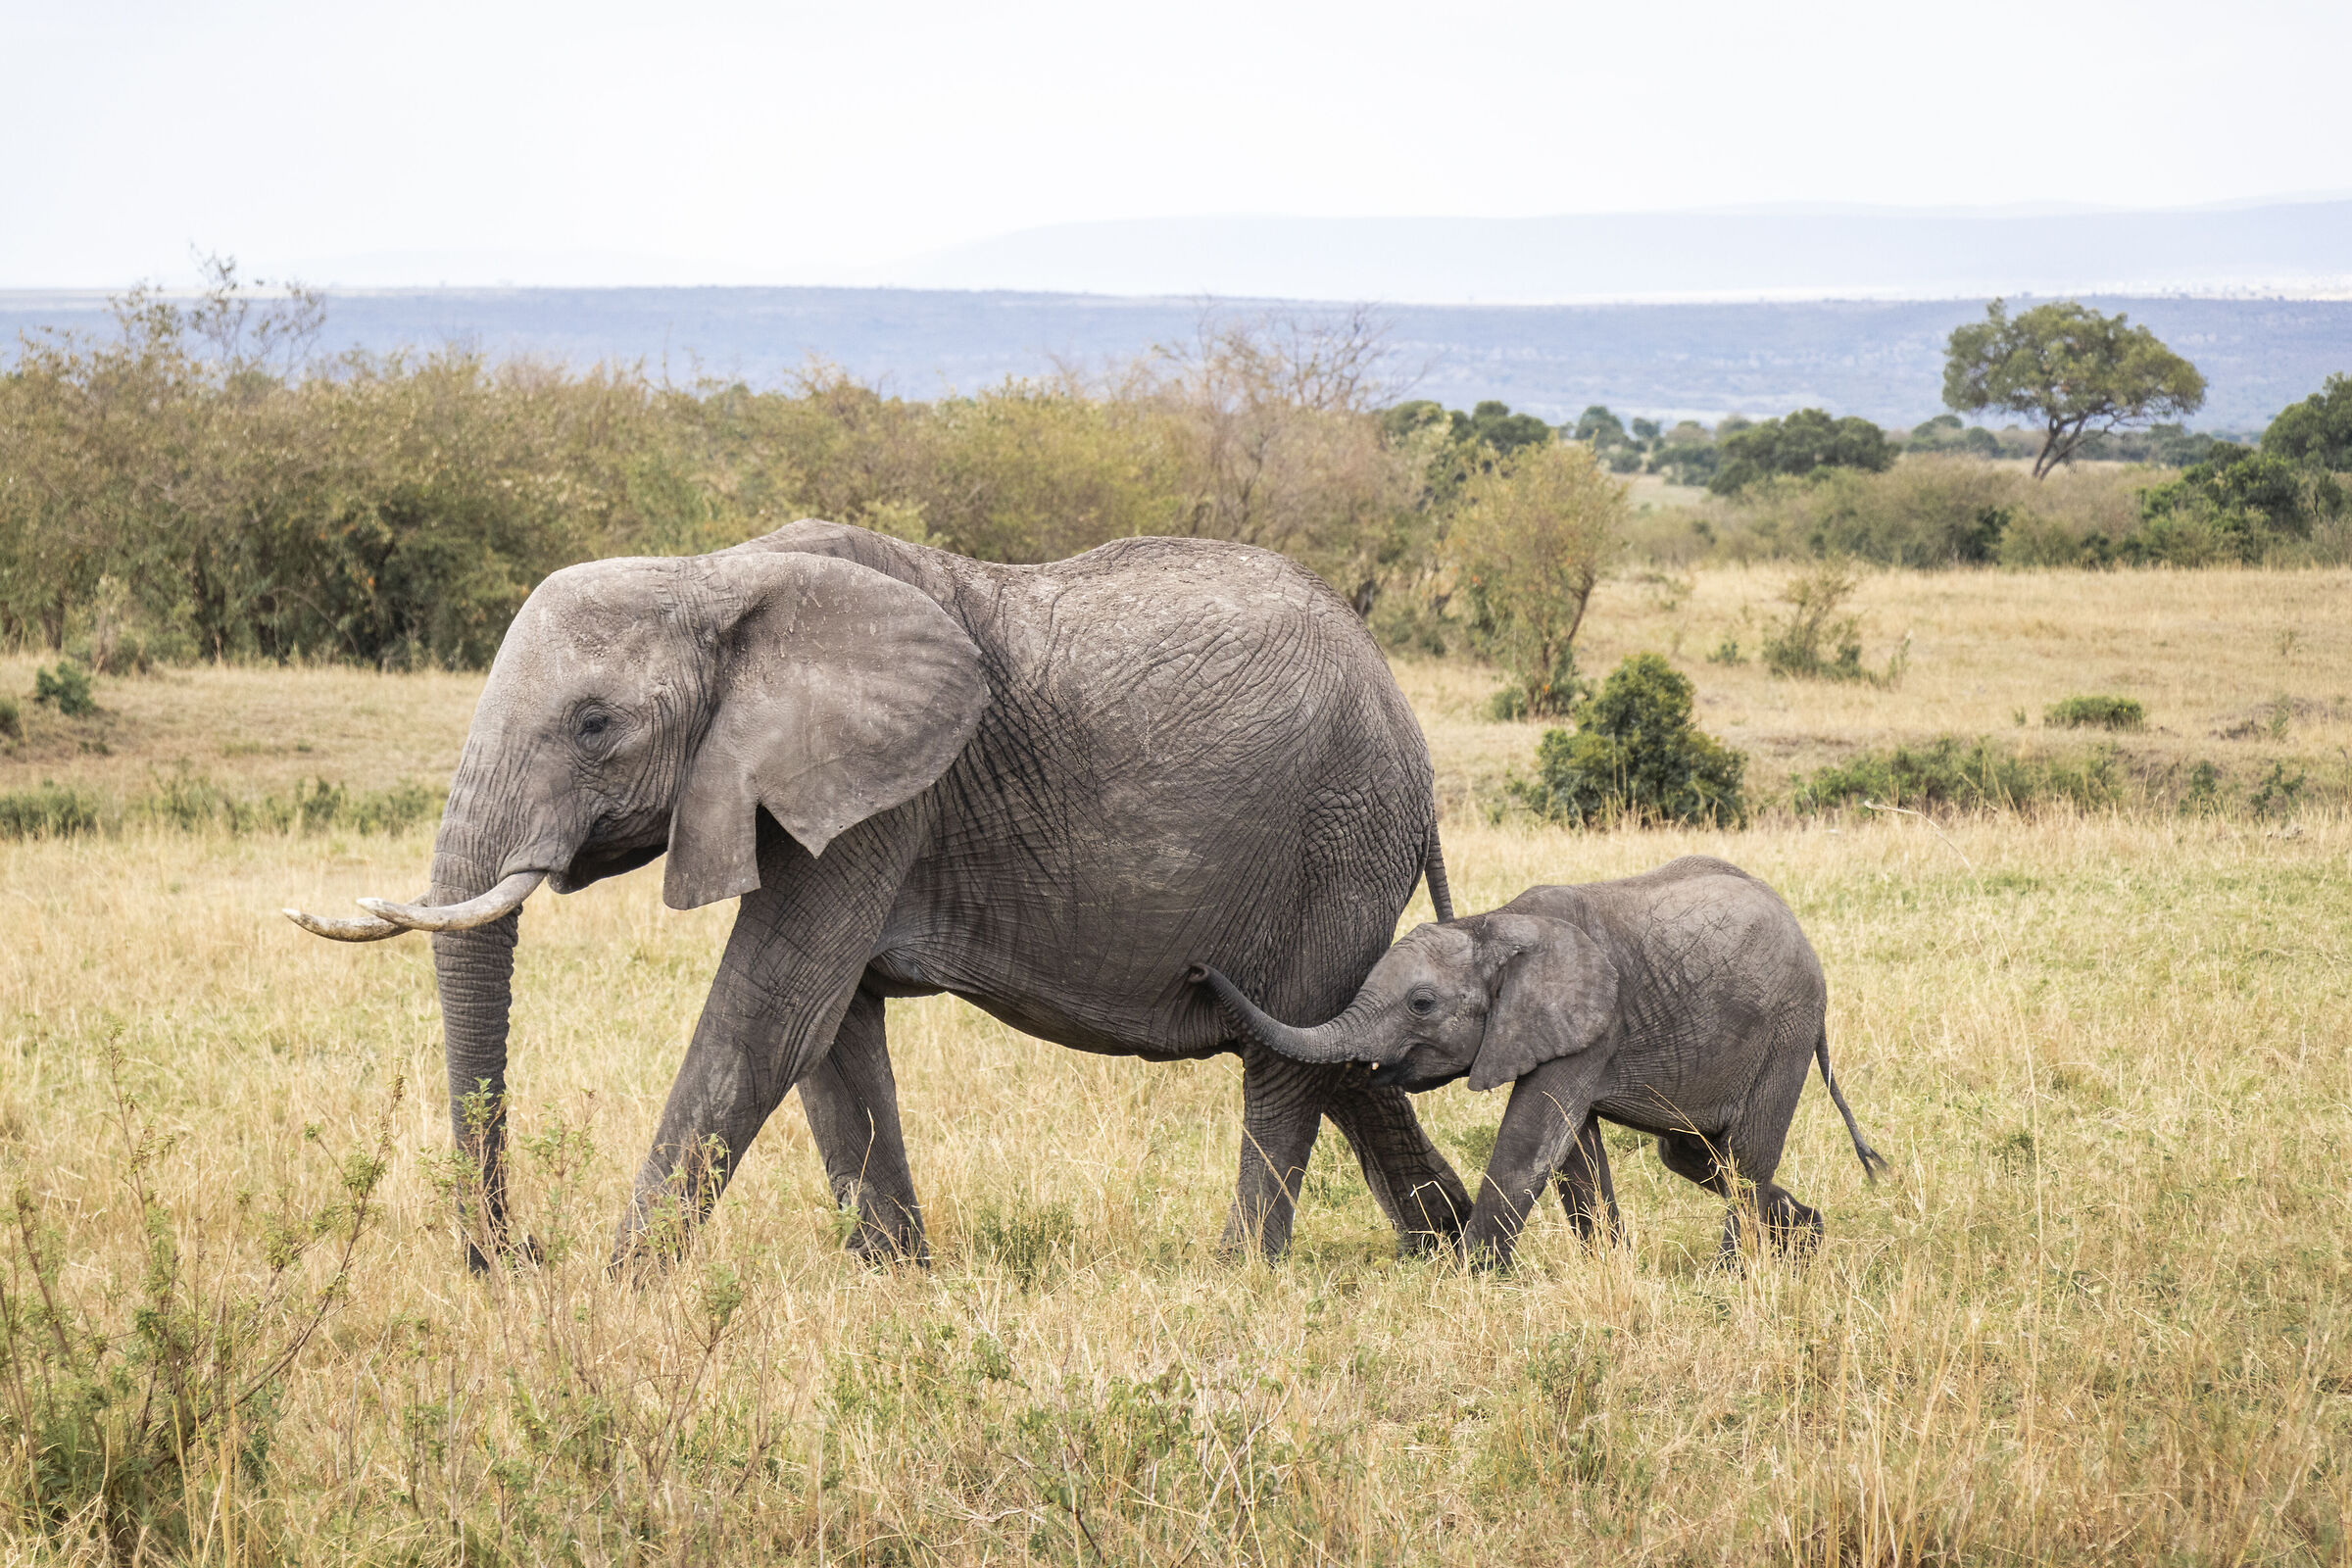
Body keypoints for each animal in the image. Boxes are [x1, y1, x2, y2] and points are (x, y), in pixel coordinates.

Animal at [286, 520, 1474, 1267]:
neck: (714, 573)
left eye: (593, 725)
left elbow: (771, 1013)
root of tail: (1410, 732)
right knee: (1338, 1049)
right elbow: (831, 1031)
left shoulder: (885, 798)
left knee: (1290, 1056)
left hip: (1338, 835)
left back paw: (1244, 1272)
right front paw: (901, 1280)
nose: (514, 1253)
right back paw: (1463, 1250)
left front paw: (617, 1290)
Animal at [1191, 856, 1888, 1269]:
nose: (1197, 971)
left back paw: (1733, 1275)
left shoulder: (1593, 1026)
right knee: (1696, 1156)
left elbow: (1530, 1138)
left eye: (1422, 1004)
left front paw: (1465, 1279)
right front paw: (1611, 1268)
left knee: (1742, 1159)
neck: (1493, 925)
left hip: (1785, 1032)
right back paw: (1805, 1238)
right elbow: (1573, 1153)